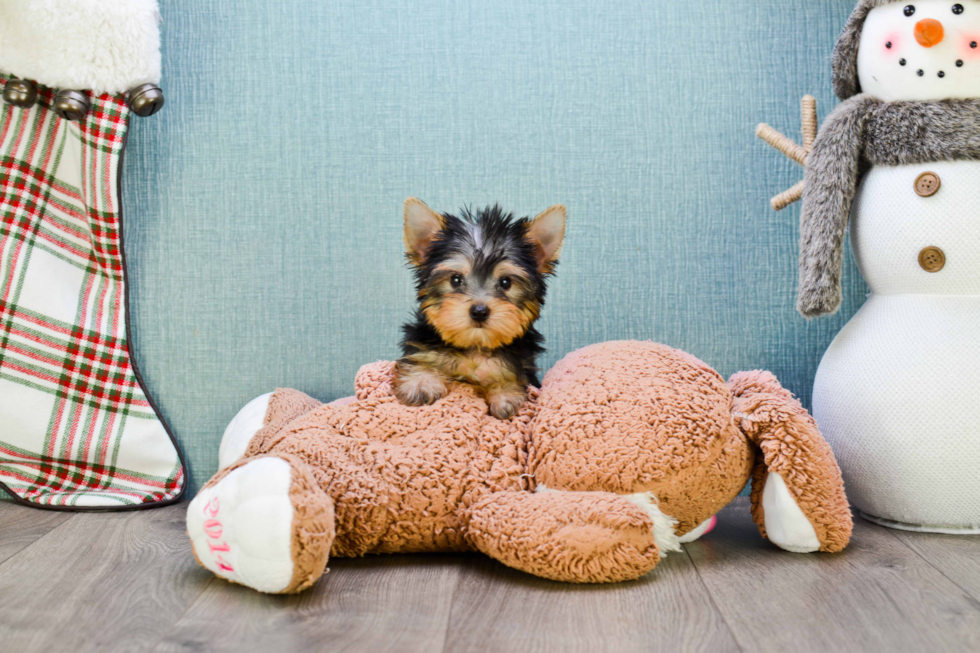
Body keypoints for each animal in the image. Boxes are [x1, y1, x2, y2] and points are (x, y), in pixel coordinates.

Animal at [394, 197, 568, 418]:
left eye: (505, 282)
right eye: (455, 279)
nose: (479, 311)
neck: (475, 346)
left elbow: (510, 378)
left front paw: (506, 396)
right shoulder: (424, 346)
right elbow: (421, 360)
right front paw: (421, 383)